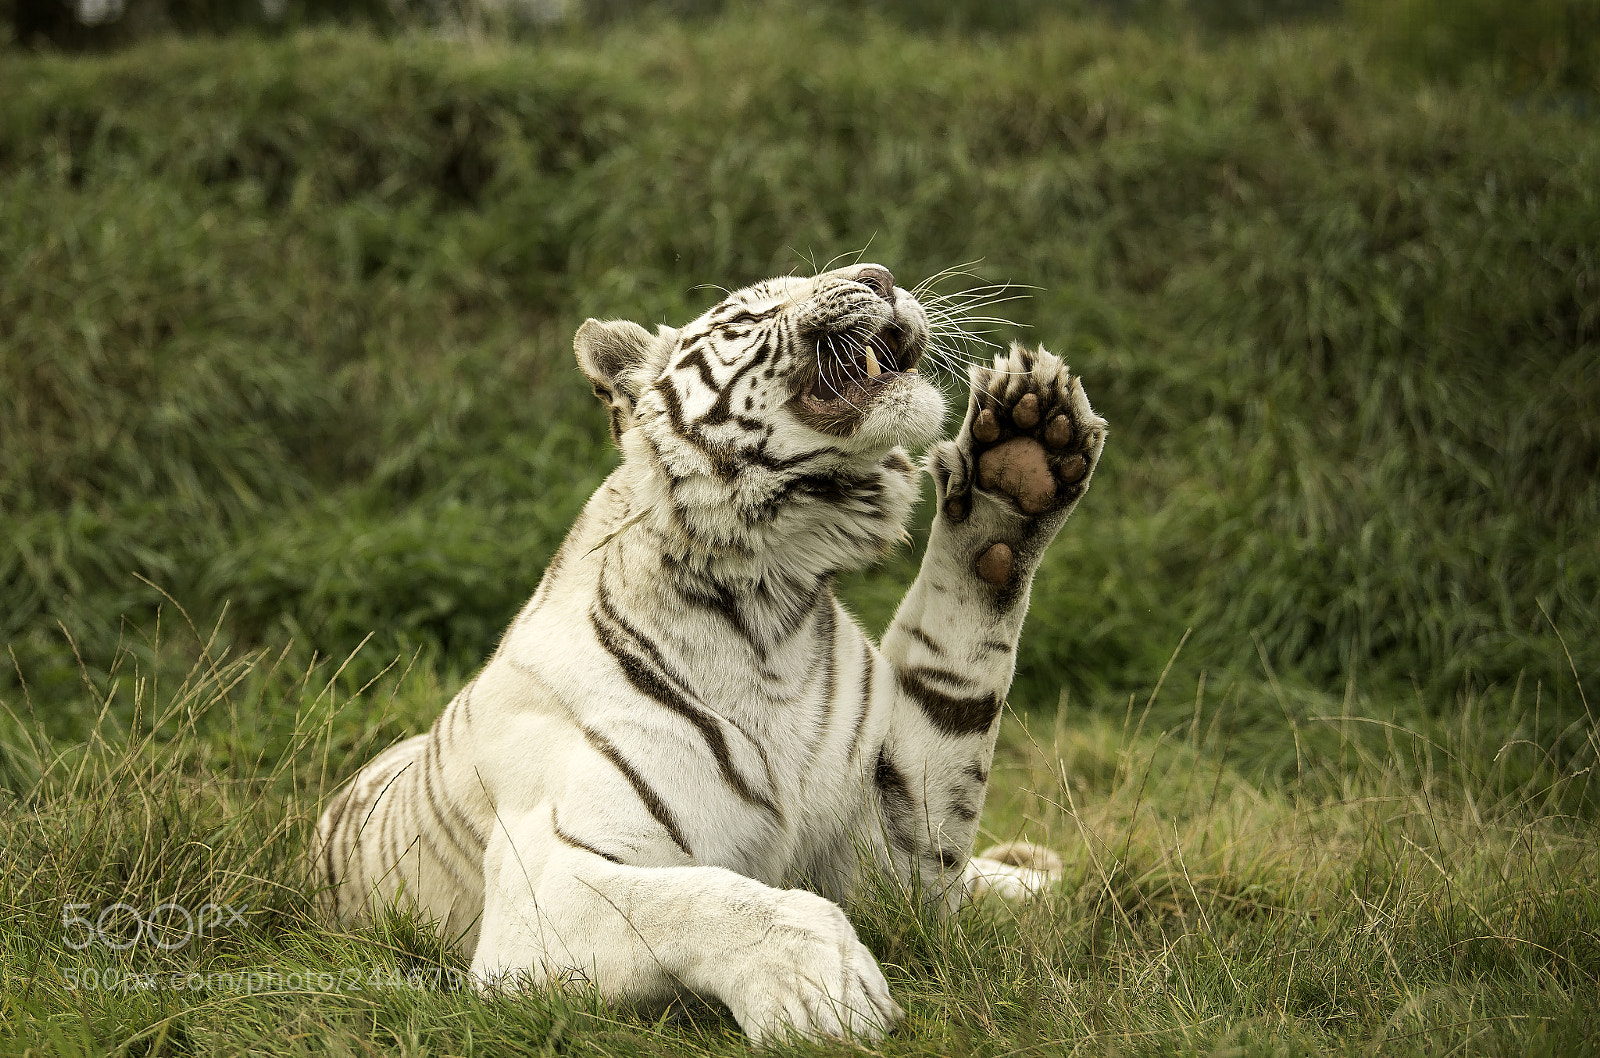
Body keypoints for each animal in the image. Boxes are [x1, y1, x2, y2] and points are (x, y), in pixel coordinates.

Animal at [314, 263, 1106, 1044]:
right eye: (747, 313)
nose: (881, 276)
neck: (767, 612)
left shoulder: (891, 861)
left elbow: (959, 666)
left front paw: (1023, 454)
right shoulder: (539, 891)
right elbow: (704, 898)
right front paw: (827, 986)